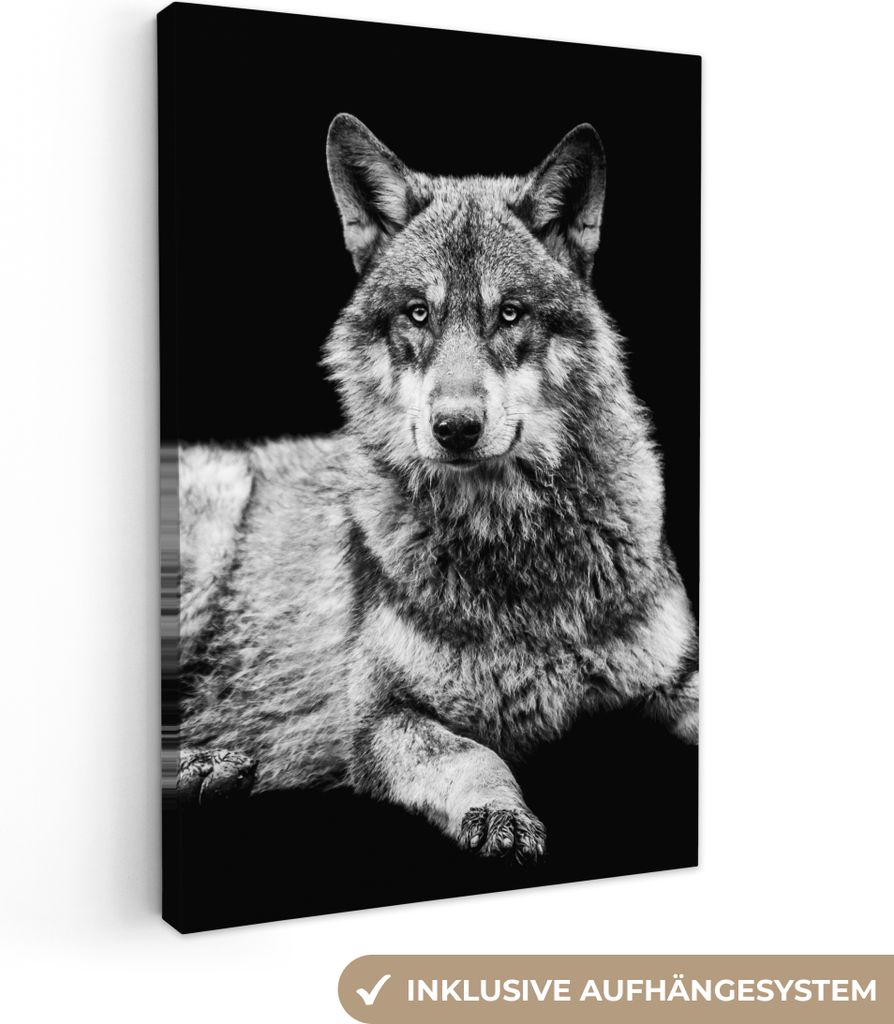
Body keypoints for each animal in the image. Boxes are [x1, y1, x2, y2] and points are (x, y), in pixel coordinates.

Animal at [175, 114, 698, 862]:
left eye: (510, 314)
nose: (454, 428)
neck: (511, 544)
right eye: (419, 314)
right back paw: (207, 765)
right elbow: (475, 755)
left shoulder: (676, 676)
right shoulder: (380, 718)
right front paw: (500, 815)